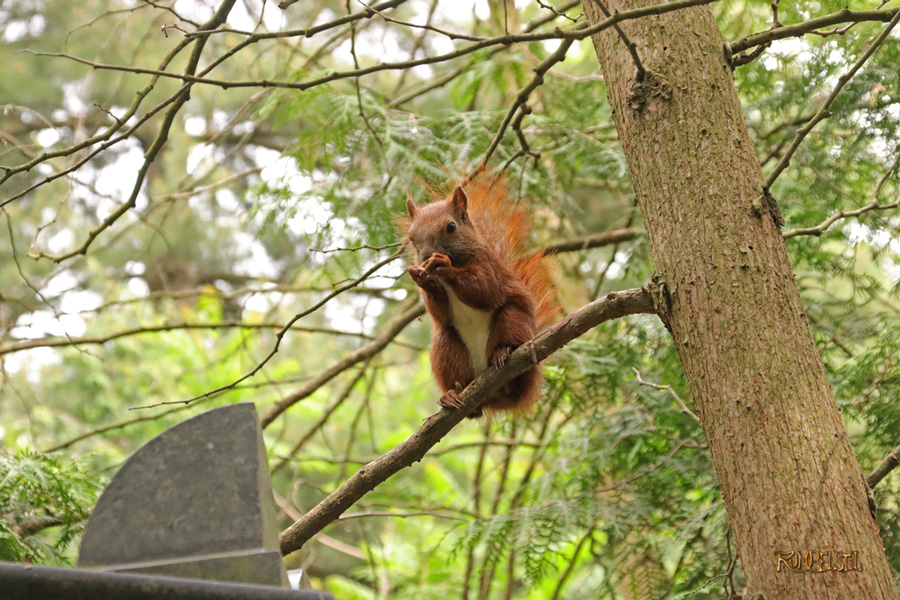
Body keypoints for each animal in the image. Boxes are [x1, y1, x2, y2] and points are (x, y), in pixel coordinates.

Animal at [402, 174, 556, 418]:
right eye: (411, 236)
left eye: (451, 226)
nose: (426, 257)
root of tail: (494, 397)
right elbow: (441, 313)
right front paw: (423, 279)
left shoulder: (489, 265)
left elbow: (484, 290)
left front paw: (443, 265)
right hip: (447, 348)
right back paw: (452, 394)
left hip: (513, 321)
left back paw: (503, 353)